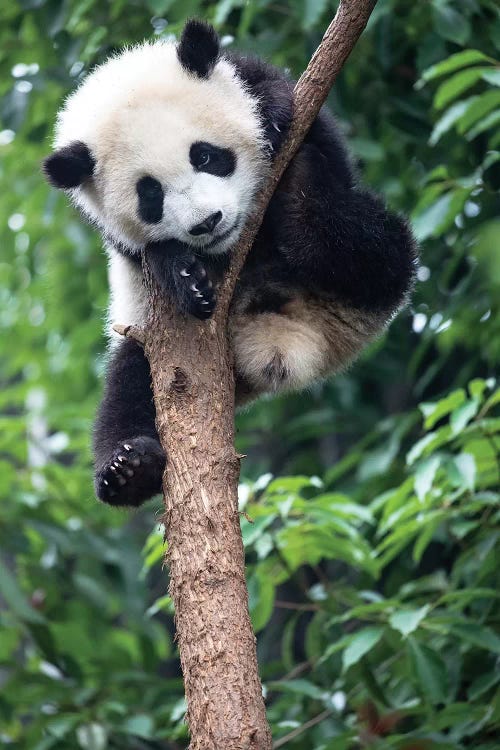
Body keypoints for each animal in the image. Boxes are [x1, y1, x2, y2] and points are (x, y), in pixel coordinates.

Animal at [44, 19, 418, 512]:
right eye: (150, 195)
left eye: (204, 155)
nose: (207, 222)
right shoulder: (111, 234)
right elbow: (142, 255)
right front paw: (184, 274)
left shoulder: (267, 85)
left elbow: (290, 110)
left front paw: (274, 124)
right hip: (147, 334)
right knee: (129, 384)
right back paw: (128, 469)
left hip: (357, 290)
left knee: (375, 253)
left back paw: (301, 195)